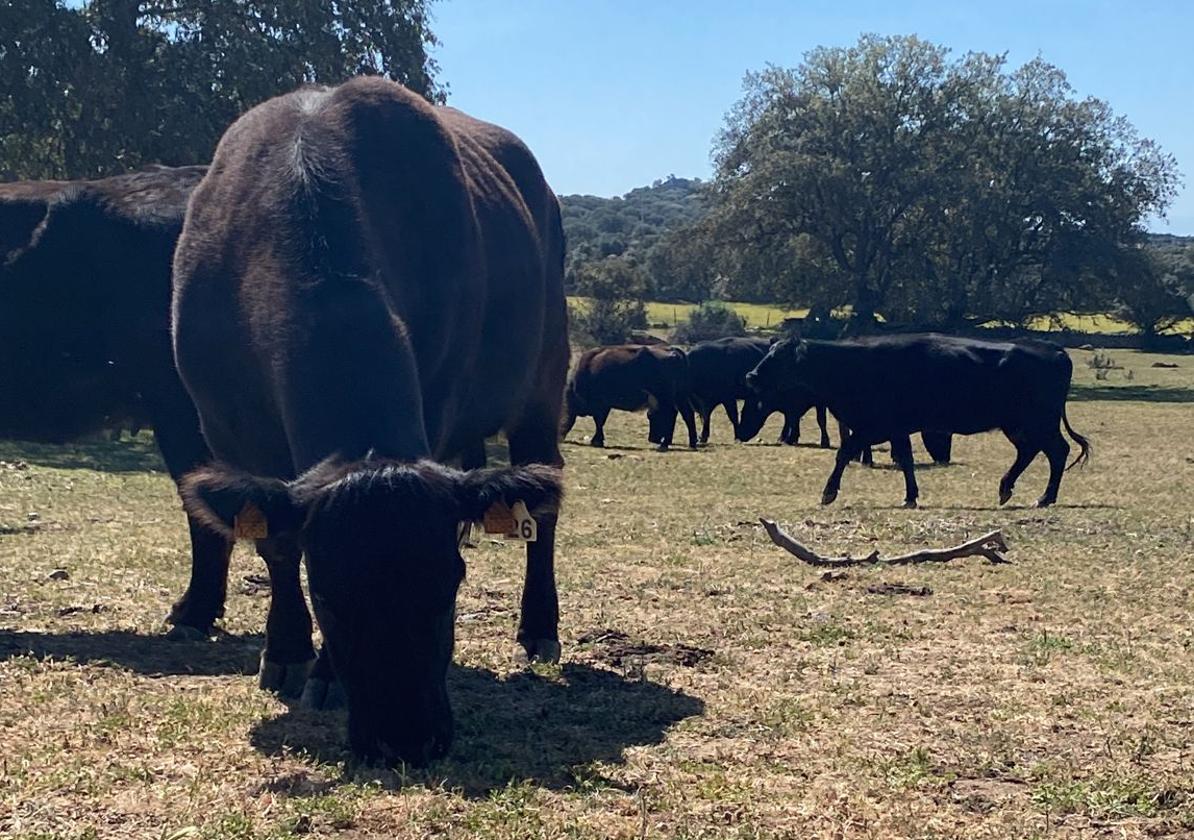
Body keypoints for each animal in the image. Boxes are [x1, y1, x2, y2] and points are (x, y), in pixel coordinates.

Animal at [169, 80, 573, 768]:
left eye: (450, 584)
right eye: (328, 591)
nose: (406, 740)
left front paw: (322, 674)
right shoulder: (224, 427)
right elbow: (276, 546)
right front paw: (286, 652)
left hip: (543, 385)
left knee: (539, 518)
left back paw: (539, 628)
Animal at [561, 341, 697, 448]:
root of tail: (673, 350)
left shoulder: (600, 405)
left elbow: (599, 421)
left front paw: (597, 441)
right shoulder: (605, 406)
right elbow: (600, 421)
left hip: (666, 397)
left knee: (672, 414)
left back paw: (664, 444)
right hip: (679, 396)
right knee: (687, 414)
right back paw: (692, 443)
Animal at [745, 334, 1093, 505]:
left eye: (779, 357)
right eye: (770, 352)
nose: (751, 375)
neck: (853, 366)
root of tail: (1053, 350)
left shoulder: (873, 425)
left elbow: (844, 453)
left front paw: (828, 494)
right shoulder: (894, 428)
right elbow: (906, 460)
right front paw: (911, 496)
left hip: (1038, 421)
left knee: (1056, 451)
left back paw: (1045, 497)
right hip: (1020, 424)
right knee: (1031, 451)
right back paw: (1007, 488)